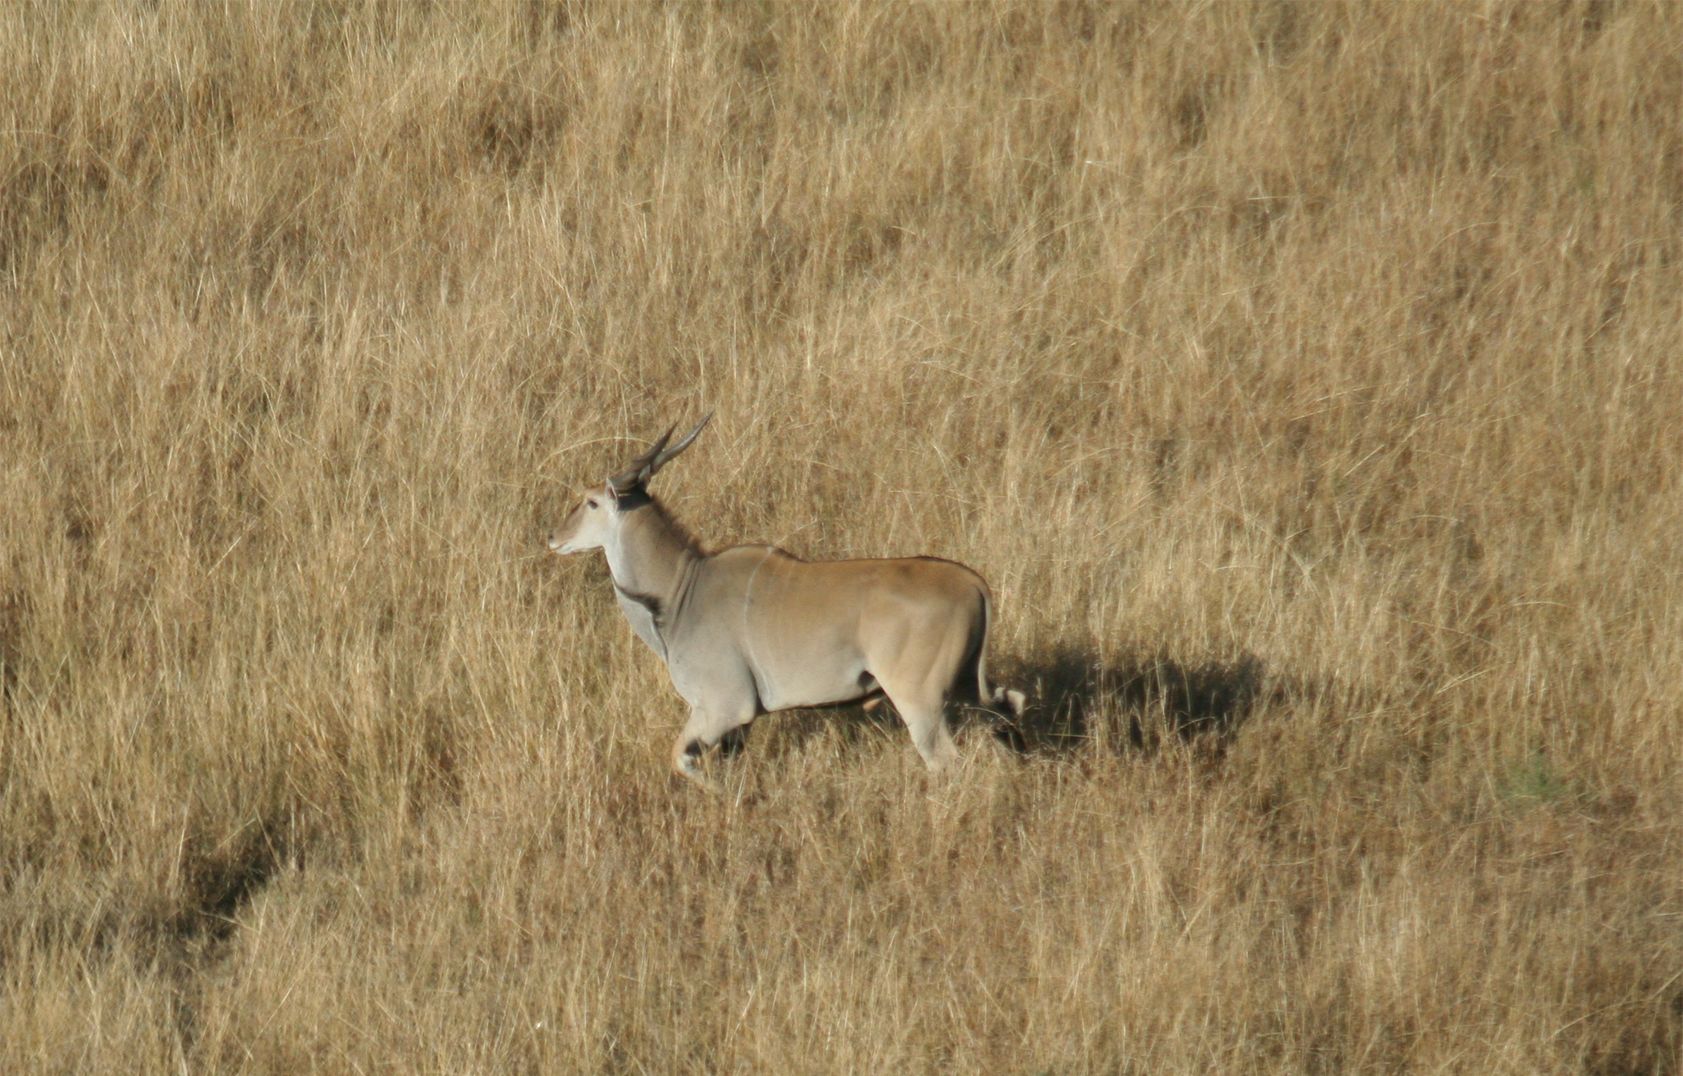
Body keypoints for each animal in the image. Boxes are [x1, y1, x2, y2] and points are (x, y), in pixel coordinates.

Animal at [552, 417, 1023, 788]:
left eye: (591, 502)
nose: (554, 538)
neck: (681, 590)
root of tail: (971, 582)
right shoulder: (735, 724)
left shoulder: (725, 707)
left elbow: (682, 759)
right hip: (967, 688)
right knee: (1008, 708)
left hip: (919, 700)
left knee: (946, 761)